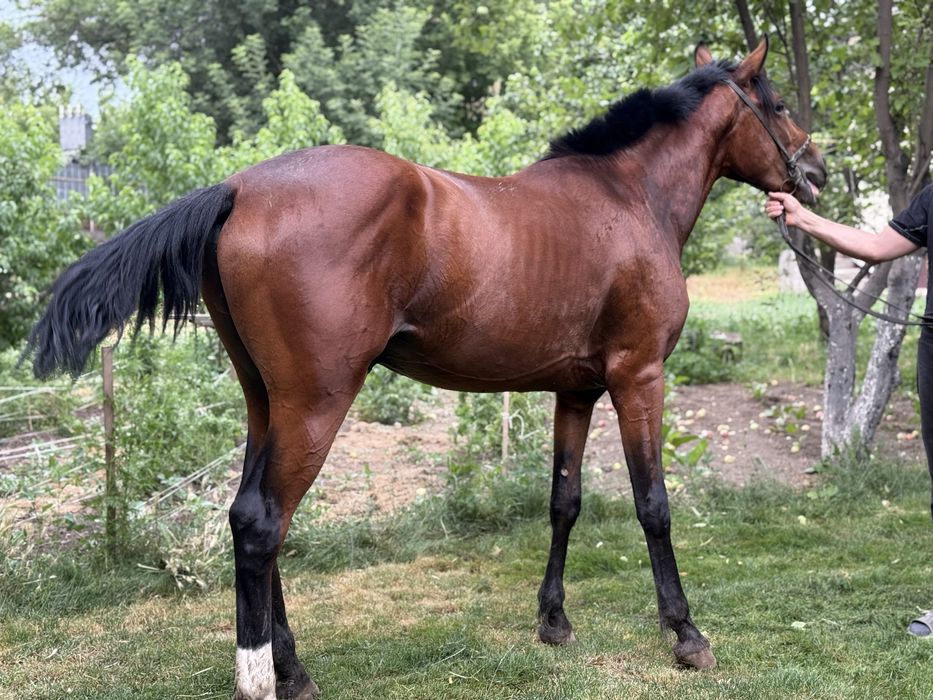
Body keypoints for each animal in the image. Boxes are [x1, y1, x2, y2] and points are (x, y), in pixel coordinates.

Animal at [26, 38, 825, 699]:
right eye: (779, 105)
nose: (815, 171)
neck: (628, 197)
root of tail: (239, 188)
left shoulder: (576, 390)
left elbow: (563, 503)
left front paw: (553, 621)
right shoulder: (639, 377)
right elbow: (652, 504)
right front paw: (685, 633)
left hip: (266, 403)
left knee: (252, 519)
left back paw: (290, 669)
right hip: (314, 404)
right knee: (262, 523)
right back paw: (263, 678)